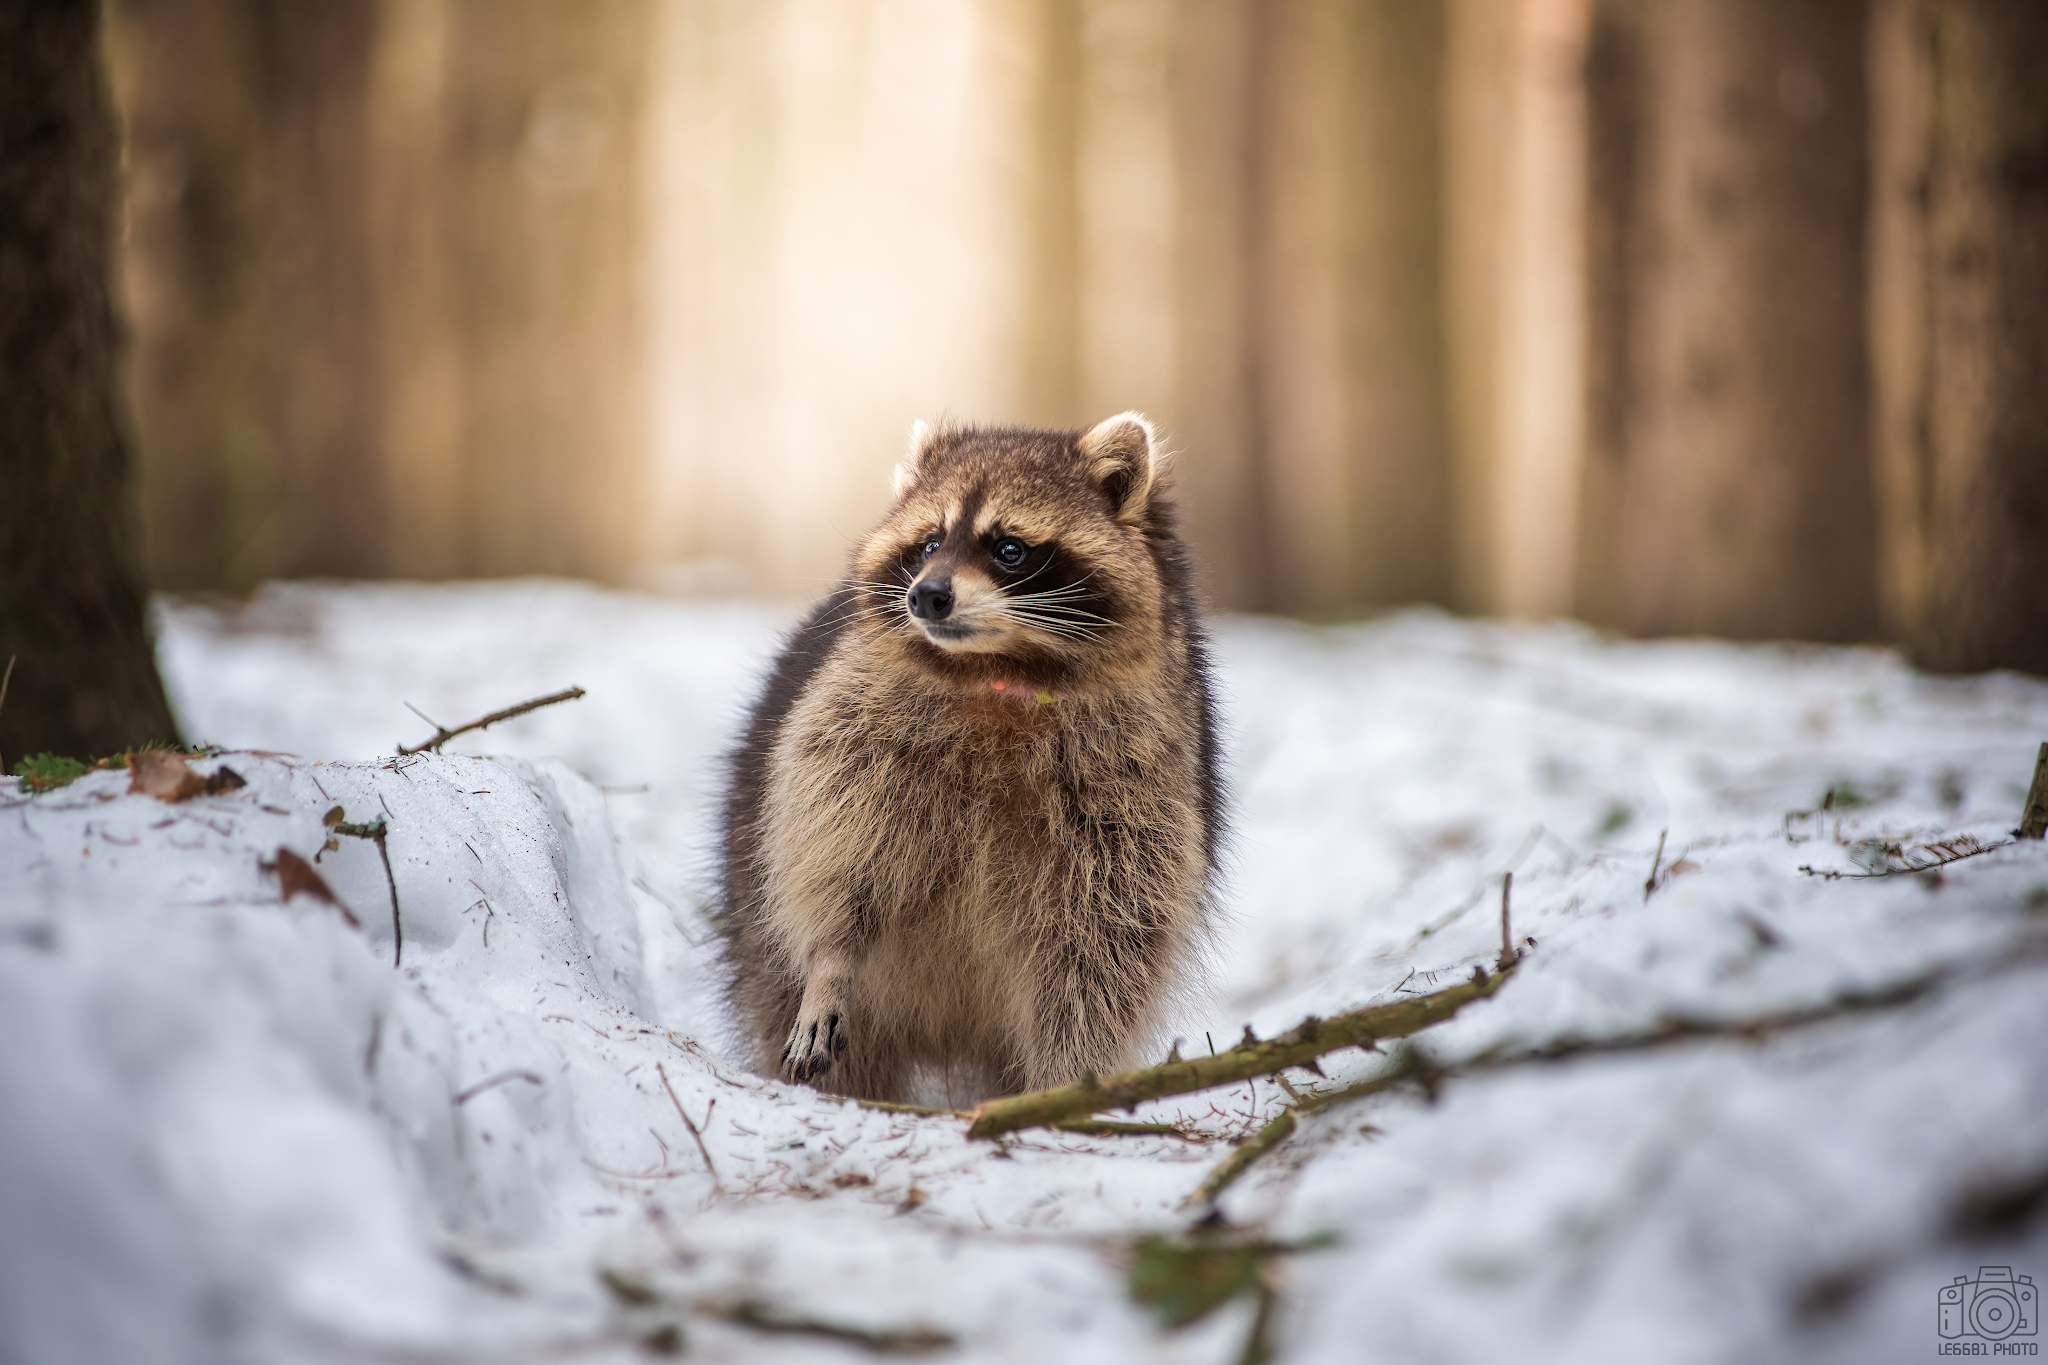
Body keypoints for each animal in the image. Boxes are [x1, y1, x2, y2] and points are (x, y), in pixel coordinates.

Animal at [720, 411, 1212, 1105]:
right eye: (929, 542)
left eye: (1009, 548)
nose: (926, 596)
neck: (997, 668)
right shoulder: (852, 723)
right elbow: (834, 854)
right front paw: (830, 960)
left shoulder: (1141, 774)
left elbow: (1104, 943)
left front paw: (1066, 1081)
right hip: (753, 916)